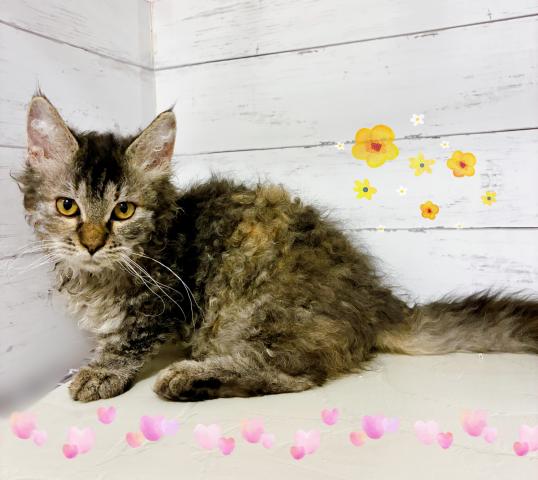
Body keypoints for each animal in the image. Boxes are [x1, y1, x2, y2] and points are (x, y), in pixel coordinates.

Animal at [14, 94, 538, 402]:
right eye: (67, 206)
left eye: (123, 211)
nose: (91, 243)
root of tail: (375, 301)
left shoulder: (163, 298)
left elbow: (126, 340)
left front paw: (99, 372)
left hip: (259, 308)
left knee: (297, 374)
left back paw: (190, 379)